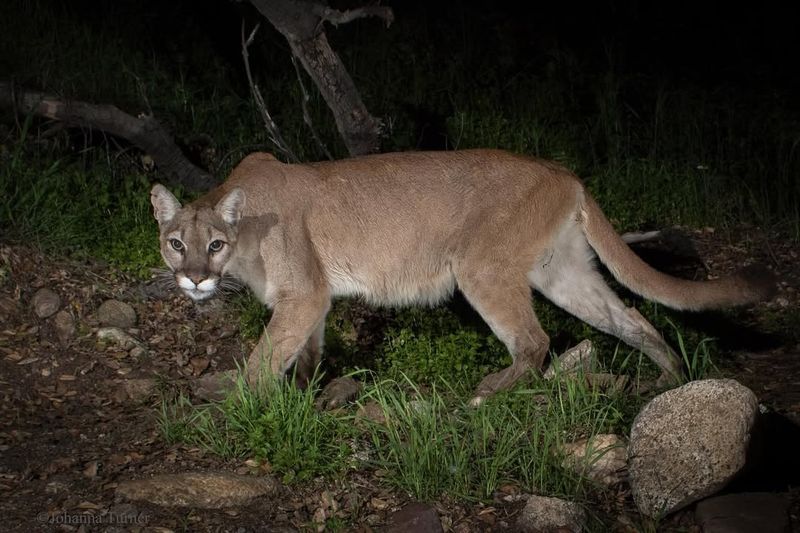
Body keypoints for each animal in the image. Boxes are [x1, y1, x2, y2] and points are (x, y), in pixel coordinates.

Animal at [152, 148, 776, 402]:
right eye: (176, 244)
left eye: (214, 244)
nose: (194, 280)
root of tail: (565, 173)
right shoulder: (312, 299)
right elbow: (302, 350)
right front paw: (302, 396)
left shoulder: (303, 293)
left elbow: (264, 356)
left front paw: (240, 404)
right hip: (562, 271)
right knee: (630, 317)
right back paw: (668, 378)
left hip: (480, 266)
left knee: (536, 339)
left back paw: (487, 394)